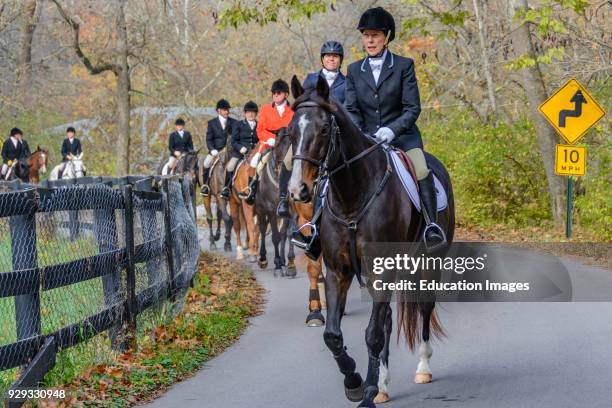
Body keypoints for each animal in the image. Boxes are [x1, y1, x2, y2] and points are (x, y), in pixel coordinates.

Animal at [286, 75, 454, 406]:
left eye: (323, 129)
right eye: (291, 131)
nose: (298, 190)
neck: (353, 195)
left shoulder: (382, 270)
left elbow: (373, 333)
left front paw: (365, 392)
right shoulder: (338, 271)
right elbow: (333, 335)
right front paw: (355, 383)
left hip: (429, 263)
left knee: (424, 307)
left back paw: (422, 368)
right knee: (388, 318)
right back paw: (383, 385)